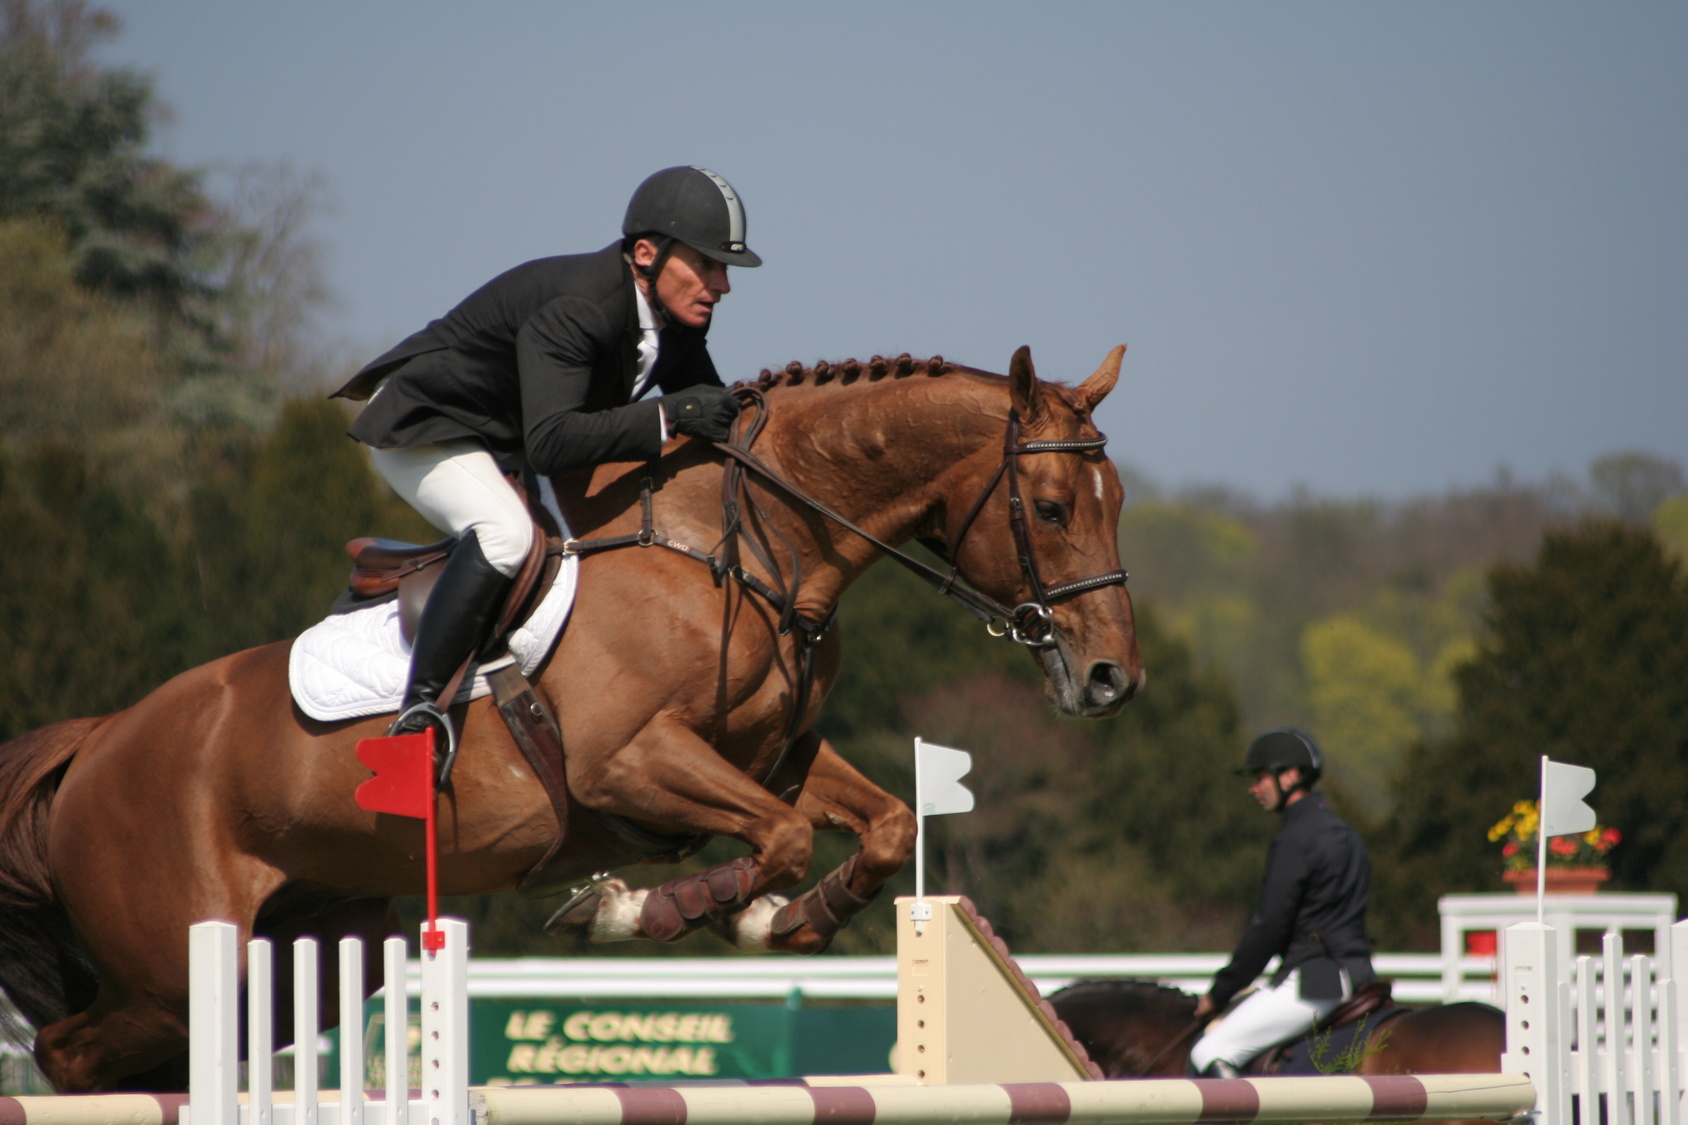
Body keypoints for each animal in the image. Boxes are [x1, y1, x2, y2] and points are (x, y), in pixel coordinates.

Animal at [0, 344, 1147, 1087]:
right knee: (66, 1051)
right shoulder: (626, 764)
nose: (1111, 680)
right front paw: (650, 910)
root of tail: (98, 741)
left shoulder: (778, 756)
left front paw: (783, 922)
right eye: (1051, 510)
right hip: (177, 964)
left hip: (306, 952)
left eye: (1119, 503)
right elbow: (775, 839)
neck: (743, 547)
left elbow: (884, 824)